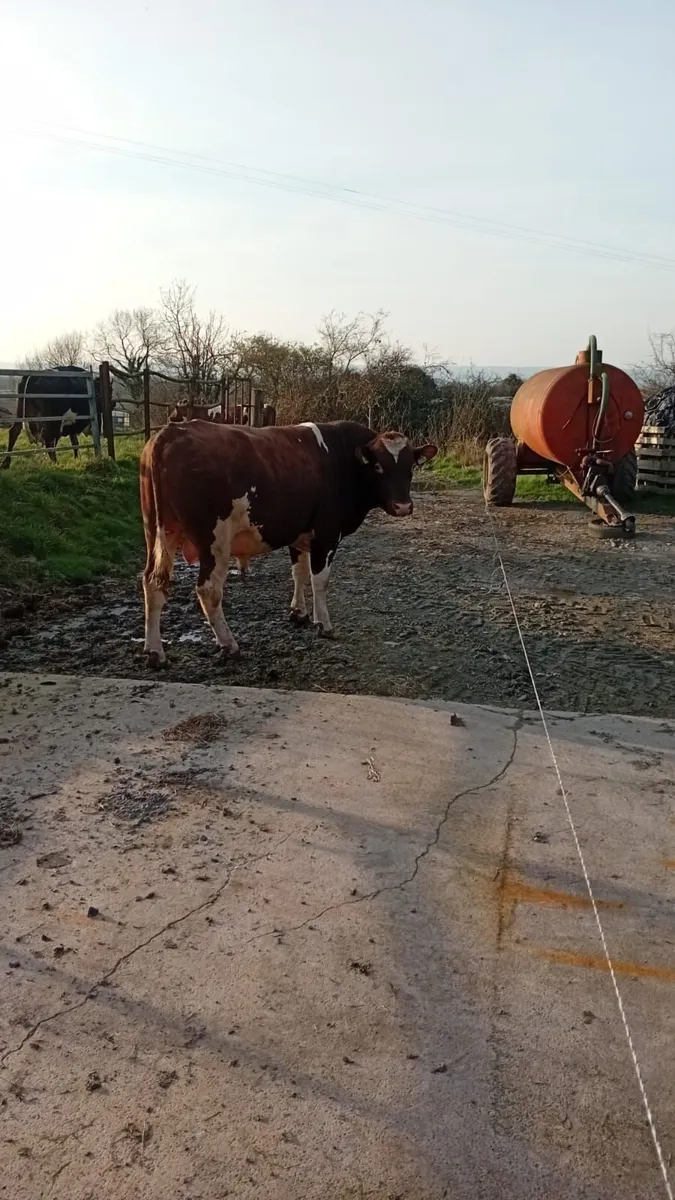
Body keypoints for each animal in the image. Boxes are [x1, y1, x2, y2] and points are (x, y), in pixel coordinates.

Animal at [139, 419, 437, 667]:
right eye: (378, 466)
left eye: (410, 467)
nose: (402, 506)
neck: (342, 460)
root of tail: (170, 432)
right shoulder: (327, 534)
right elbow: (319, 580)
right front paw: (323, 624)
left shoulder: (300, 534)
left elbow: (299, 572)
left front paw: (298, 612)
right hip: (214, 541)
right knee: (209, 591)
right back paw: (229, 645)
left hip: (159, 532)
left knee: (153, 583)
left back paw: (155, 652)